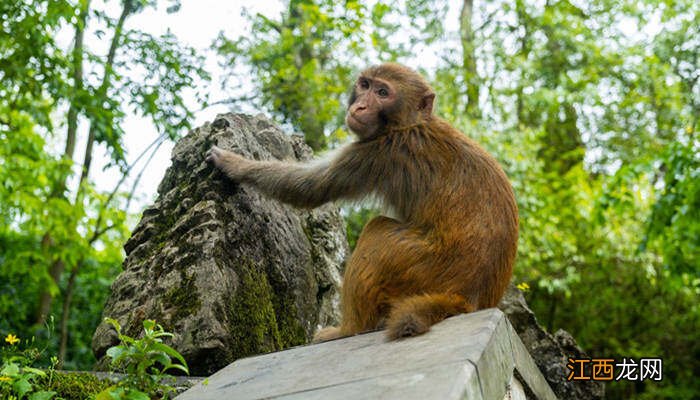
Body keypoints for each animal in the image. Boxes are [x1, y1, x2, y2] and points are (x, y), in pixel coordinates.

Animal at [205, 62, 516, 340]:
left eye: (383, 92)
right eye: (365, 85)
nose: (360, 107)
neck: (410, 123)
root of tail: (465, 297)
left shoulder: (378, 152)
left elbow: (310, 187)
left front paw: (234, 165)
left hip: (421, 265)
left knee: (377, 231)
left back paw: (349, 329)